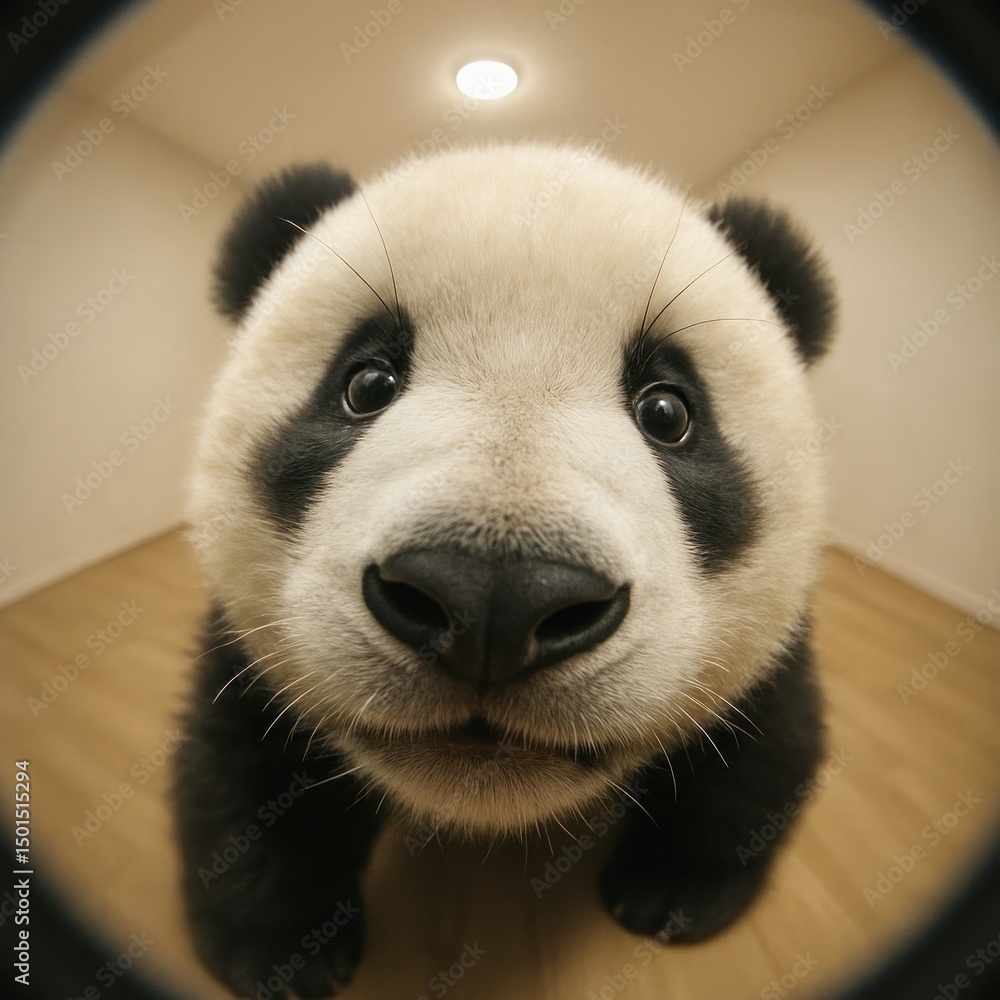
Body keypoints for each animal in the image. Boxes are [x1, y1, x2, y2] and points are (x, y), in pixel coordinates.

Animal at [172, 142, 835, 999]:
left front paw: (673, 891)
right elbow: (237, 756)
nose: (493, 599)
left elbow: (768, 734)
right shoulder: (255, 637)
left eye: (668, 412)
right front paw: (283, 947)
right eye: (366, 383)